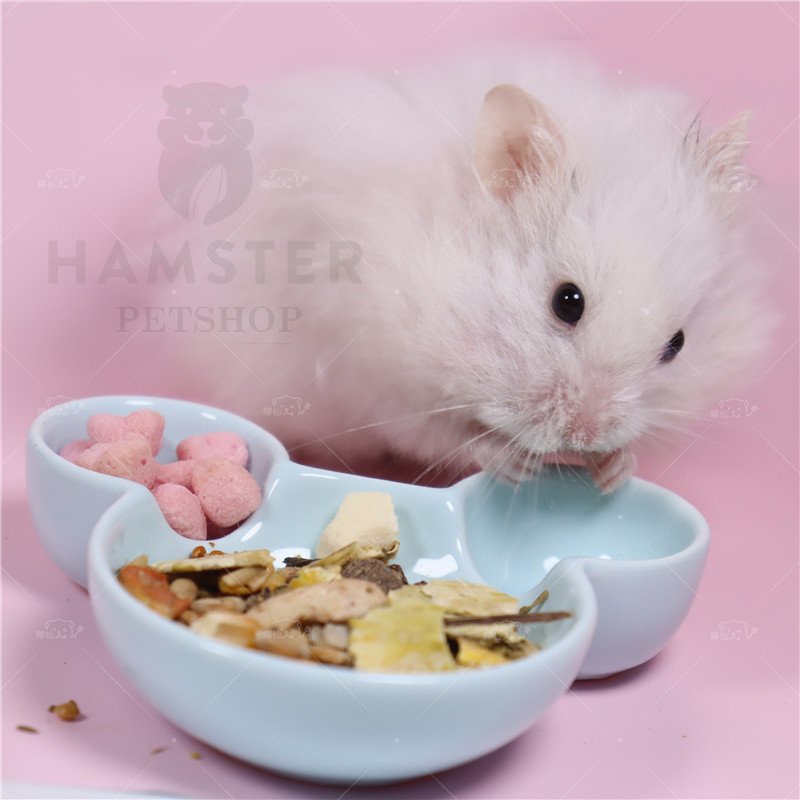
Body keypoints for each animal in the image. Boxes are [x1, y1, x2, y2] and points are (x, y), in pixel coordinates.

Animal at [160, 52, 769, 491]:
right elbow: (437, 434)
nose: (584, 435)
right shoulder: (371, 377)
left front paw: (615, 471)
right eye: (567, 301)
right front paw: (518, 464)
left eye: (677, 344)